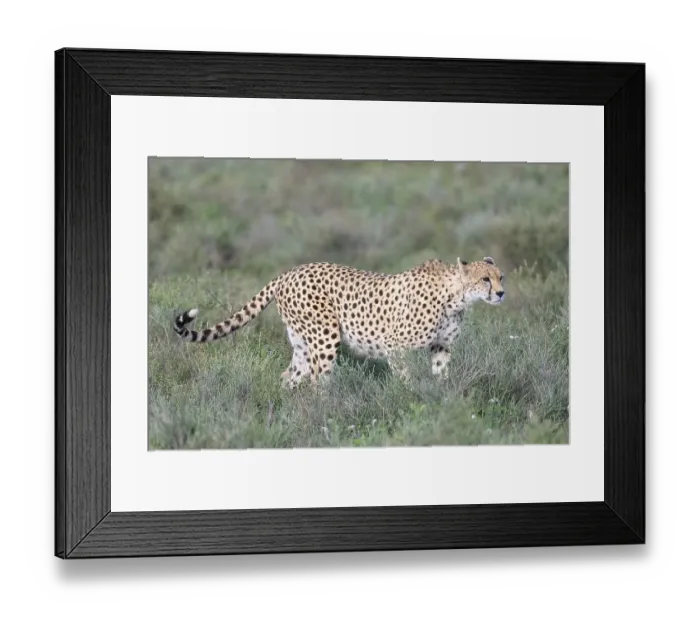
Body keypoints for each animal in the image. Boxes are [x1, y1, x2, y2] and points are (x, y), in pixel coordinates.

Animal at [173, 256, 505, 387]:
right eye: (485, 279)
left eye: (501, 276)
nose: (502, 293)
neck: (455, 296)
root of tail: (291, 271)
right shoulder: (395, 346)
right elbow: (406, 380)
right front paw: (412, 399)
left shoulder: (441, 346)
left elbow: (440, 376)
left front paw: (440, 400)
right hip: (325, 337)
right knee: (318, 381)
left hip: (302, 343)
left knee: (291, 377)